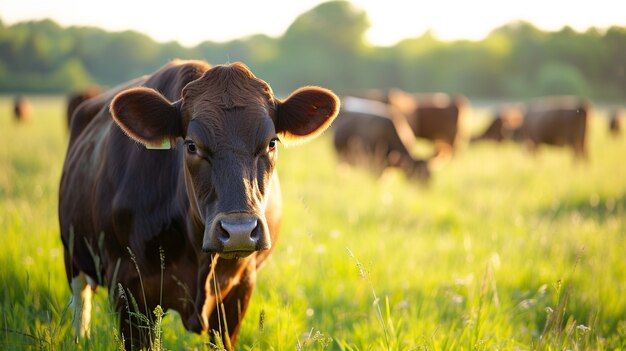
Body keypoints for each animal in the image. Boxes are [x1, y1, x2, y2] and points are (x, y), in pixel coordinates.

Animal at [58, 59, 338, 350]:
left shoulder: (239, 289)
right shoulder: (128, 288)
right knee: (80, 305)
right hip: (72, 250)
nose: (239, 232)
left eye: (272, 142)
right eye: (191, 145)